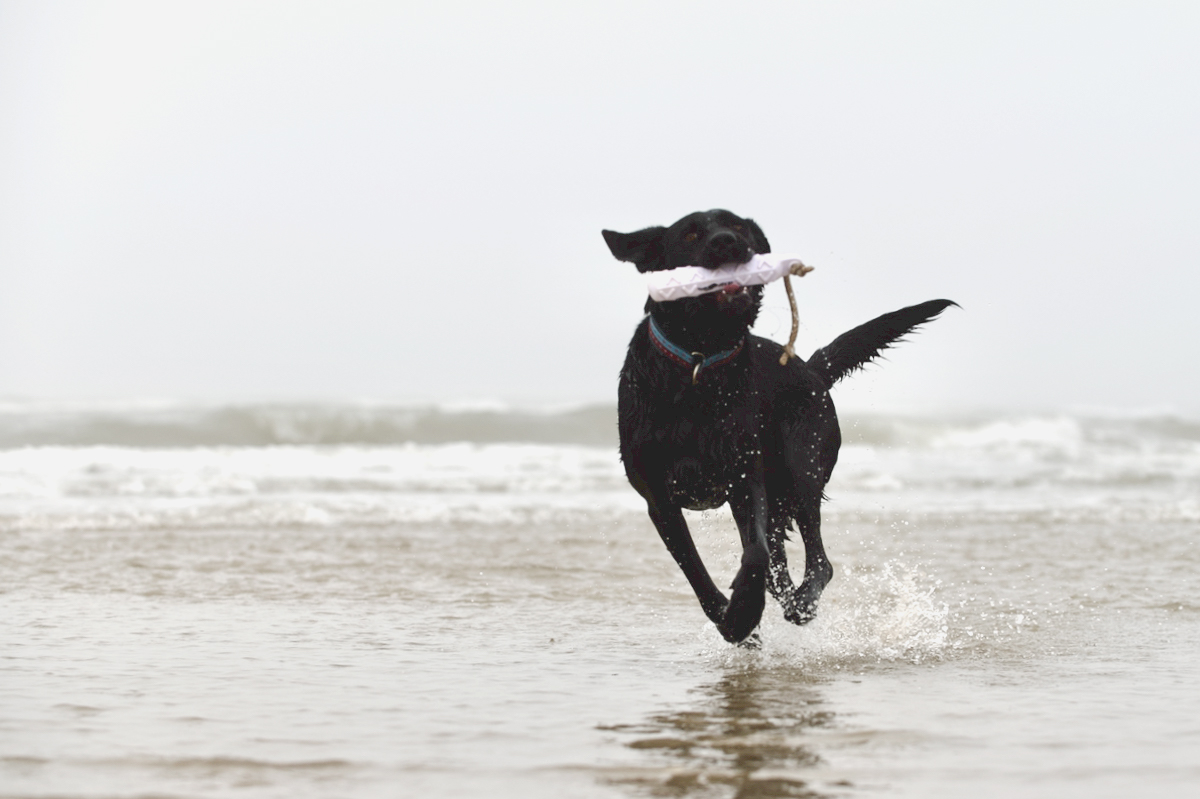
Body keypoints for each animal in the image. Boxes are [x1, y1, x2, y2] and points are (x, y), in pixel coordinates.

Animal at [604, 209, 950, 643]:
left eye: (738, 226)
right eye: (691, 234)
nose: (727, 242)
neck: (700, 362)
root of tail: (812, 369)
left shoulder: (746, 478)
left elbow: (755, 554)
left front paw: (742, 613)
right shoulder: (659, 498)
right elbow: (696, 569)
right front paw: (734, 617)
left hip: (801, 466)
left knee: (816, 561)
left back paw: (800, 603)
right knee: (783, 568)